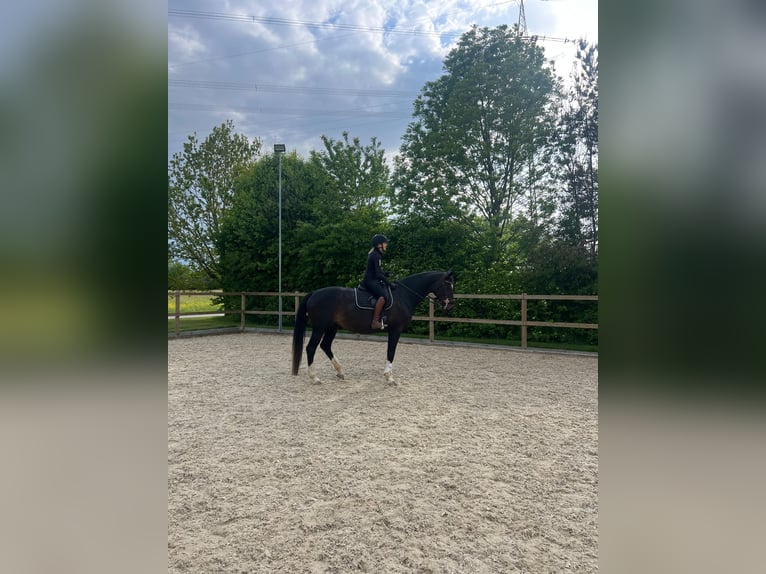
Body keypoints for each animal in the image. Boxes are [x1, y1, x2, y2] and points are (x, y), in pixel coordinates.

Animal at [291, 270, 456, 384]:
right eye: (448, 285)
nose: (450, 306)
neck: (403, 295)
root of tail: (314, 293)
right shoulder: (395, 330)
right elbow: (391, 351)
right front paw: (389, 377)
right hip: (320, 328)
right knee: (311, 348)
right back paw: (314, 378)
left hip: (332, 327)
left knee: (325, 345)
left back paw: (340, 371)